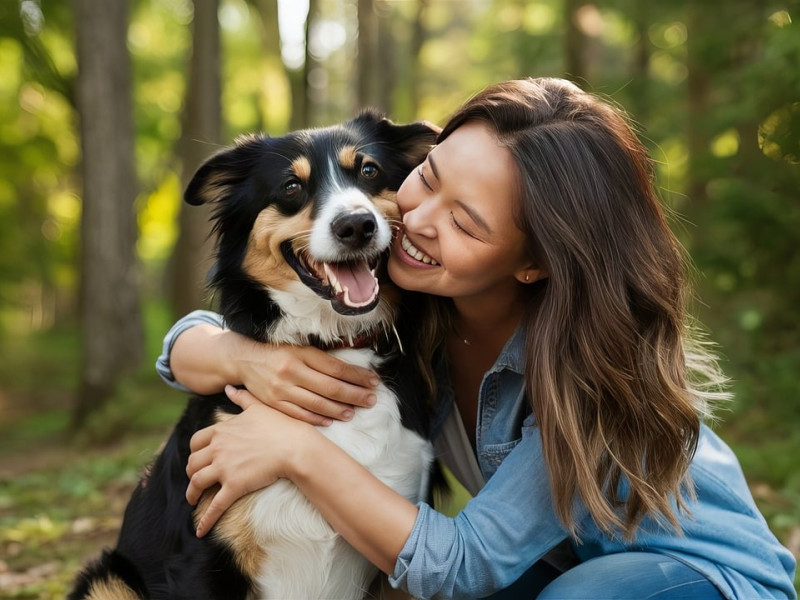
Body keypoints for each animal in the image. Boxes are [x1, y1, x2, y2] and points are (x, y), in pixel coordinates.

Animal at [70, 112, 438, 600]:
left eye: (369, 170)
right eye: (290, 186)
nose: (357, 224)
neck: (335, 345)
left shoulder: (399, 559)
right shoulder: (199, 556)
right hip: (108, 579)